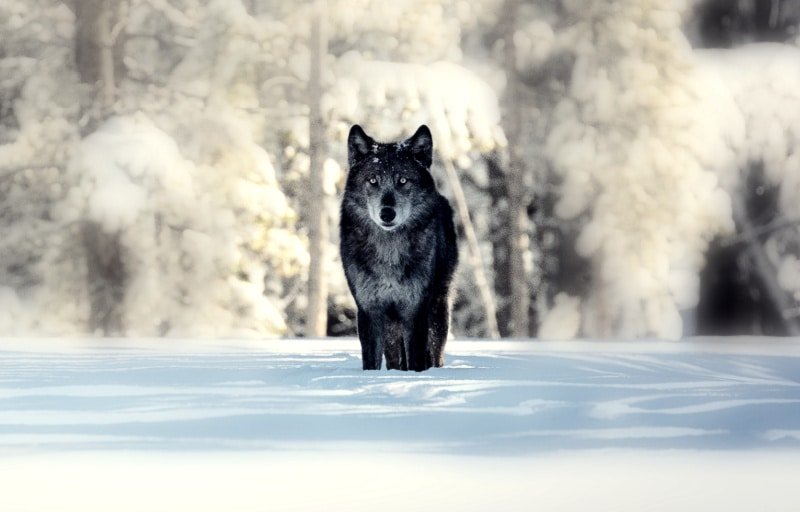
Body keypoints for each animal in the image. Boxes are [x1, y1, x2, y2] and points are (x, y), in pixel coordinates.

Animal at [340, 124, 460, 372]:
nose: (387, 213)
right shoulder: (369, 310)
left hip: (438, 311)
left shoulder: (415, 310)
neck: (389, 251)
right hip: (392, 327)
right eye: (373, 180)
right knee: (395, 357)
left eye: (403, 180)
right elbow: (371, 362)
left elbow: (416, 359)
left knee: (435, 353)